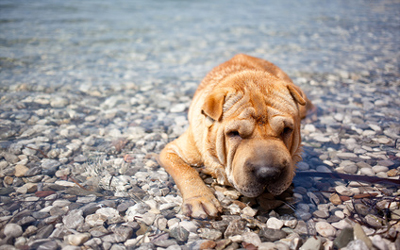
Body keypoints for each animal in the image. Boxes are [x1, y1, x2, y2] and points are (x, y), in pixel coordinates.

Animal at [159, 53, 312, 219]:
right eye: (234, 134)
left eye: (286, 130)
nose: (268, 173)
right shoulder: (172, 151)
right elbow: (185, 170)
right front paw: (199, 199)